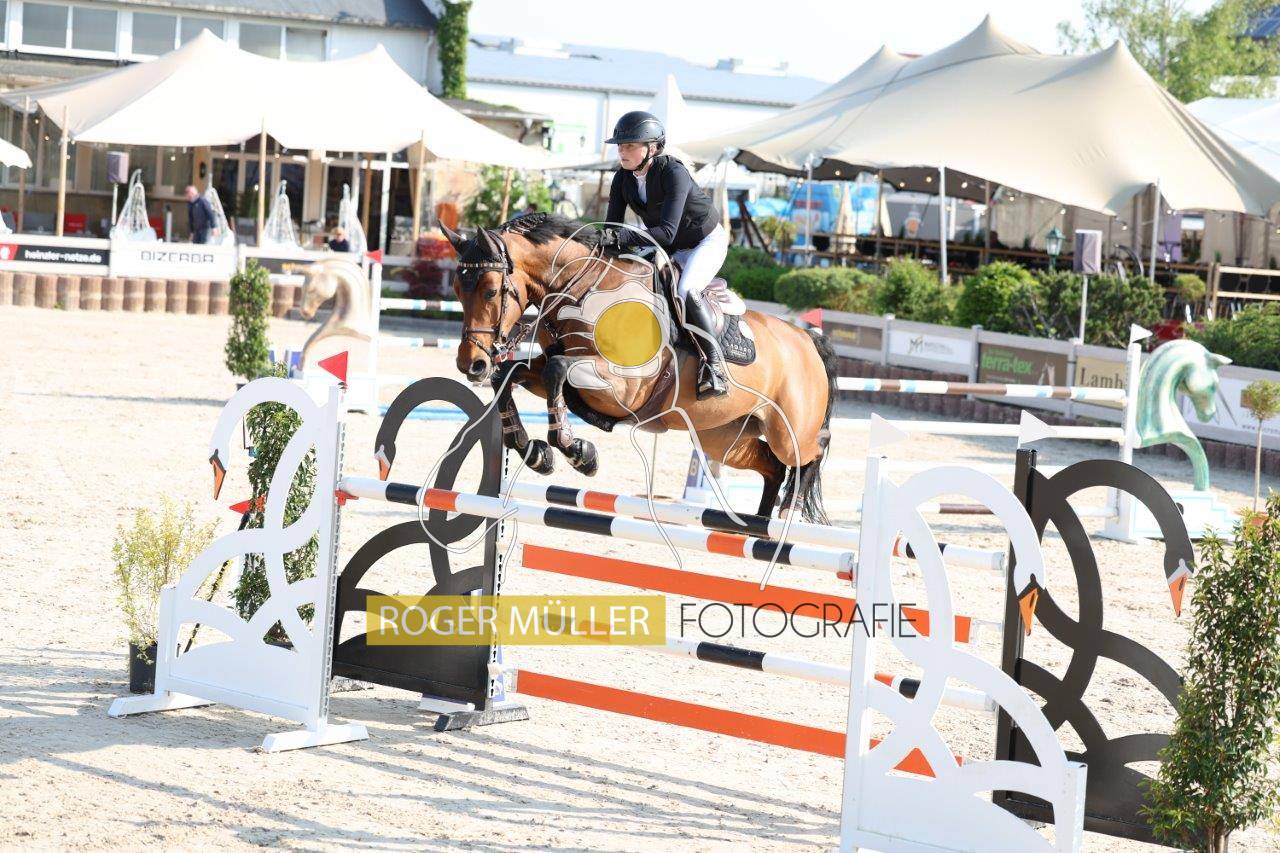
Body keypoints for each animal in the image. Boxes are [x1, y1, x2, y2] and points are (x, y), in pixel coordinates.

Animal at [440, 213, 838, 522]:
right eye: (457, 288)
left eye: (490, 291)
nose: (471, 363)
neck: (585, 290)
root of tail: (807, 339)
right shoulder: (565, 374)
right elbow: (510, 374)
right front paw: (535, 451)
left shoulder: (625, 387)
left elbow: (556, 369)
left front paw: (577, 450)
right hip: (723, 438)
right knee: (773, 466)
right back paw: (759, 523)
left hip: (787, 431)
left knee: (814, 449)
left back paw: (790, 511)